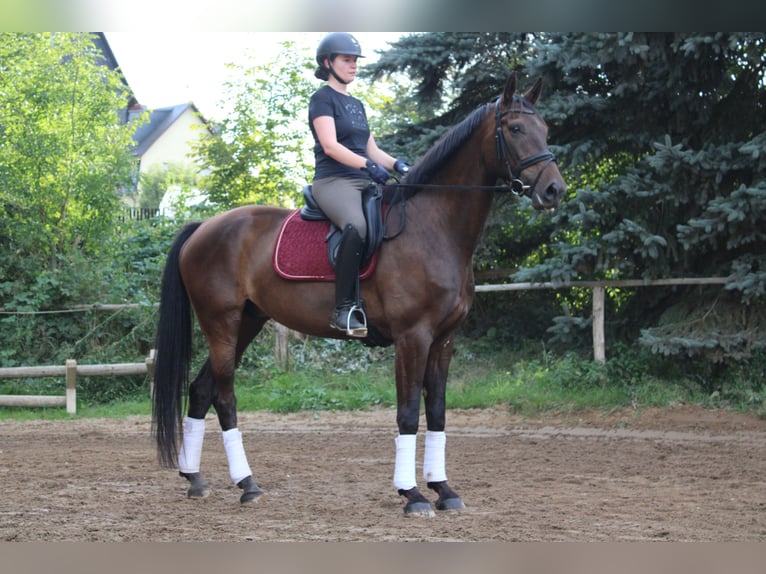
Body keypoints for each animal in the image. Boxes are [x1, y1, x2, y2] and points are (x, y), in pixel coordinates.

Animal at [152, 72, 568, 516]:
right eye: (515, 128)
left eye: (545, 128)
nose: (554, 191)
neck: (433, 226)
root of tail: (203, 227)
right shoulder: (412, 337)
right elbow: (408, 414)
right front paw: (412, 494)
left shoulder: (444, 338)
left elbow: (438, 413)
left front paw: (443, 489)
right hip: (221, 323)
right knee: (225, 397)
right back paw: (247, 484)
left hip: (247, 321)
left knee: (202, 390)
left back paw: (196, 478)